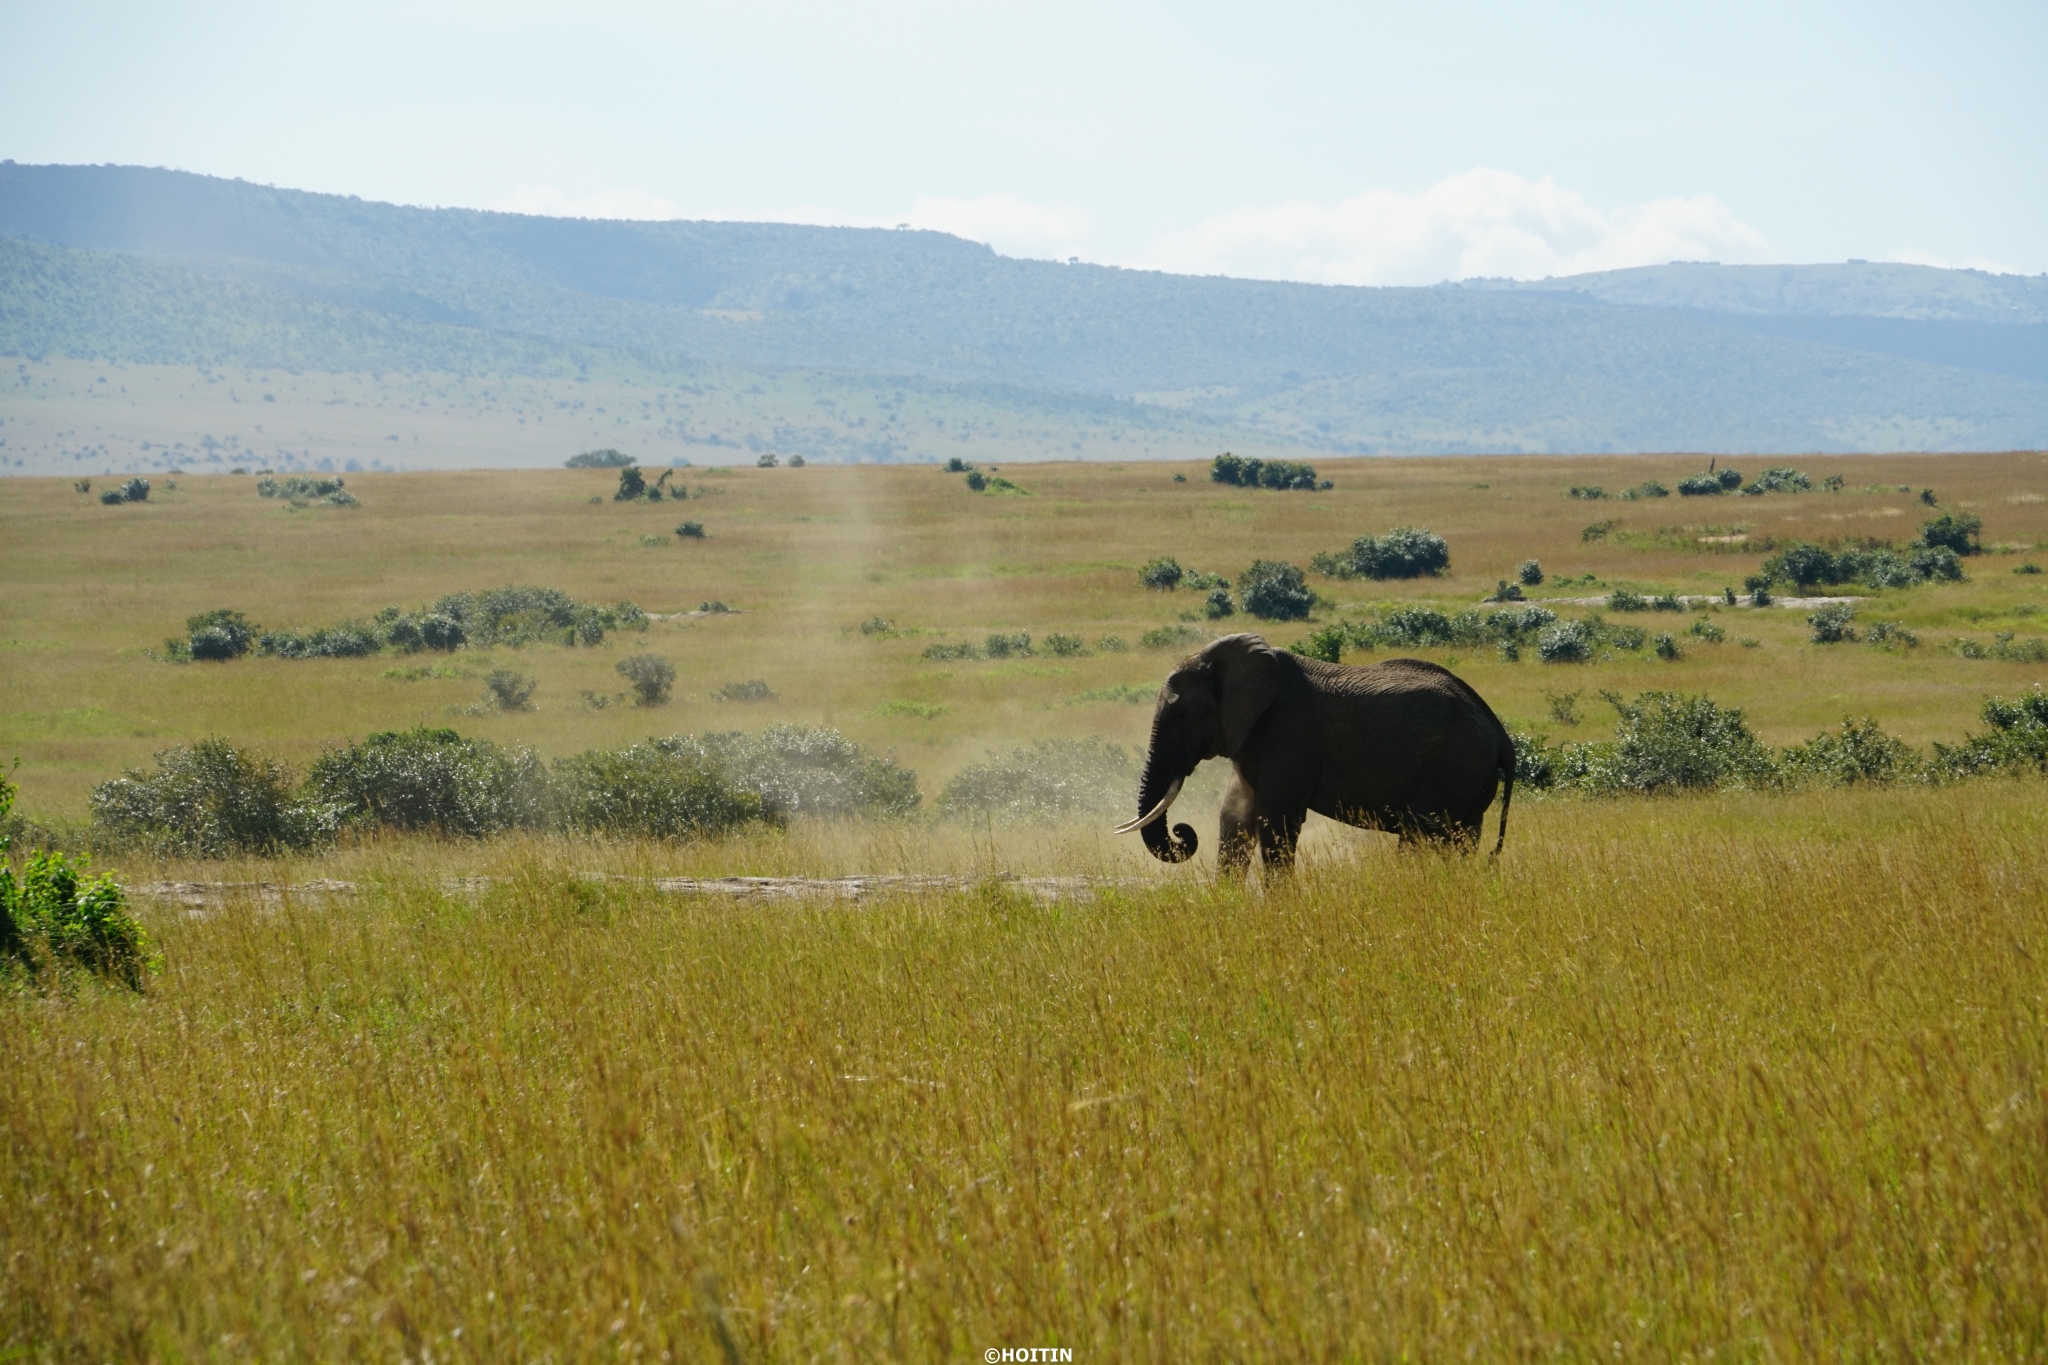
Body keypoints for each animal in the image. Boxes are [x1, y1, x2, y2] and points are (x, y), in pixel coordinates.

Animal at [1114, 634, 1515, 871]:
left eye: (1181, 716)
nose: (1182, 831)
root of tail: (1500, 734)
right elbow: (1235, 818)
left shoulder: (1286, 733)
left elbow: (1276, 822)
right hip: (1469, 775)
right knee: (1460, 840)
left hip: (1452, 766)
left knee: (1421, 834)